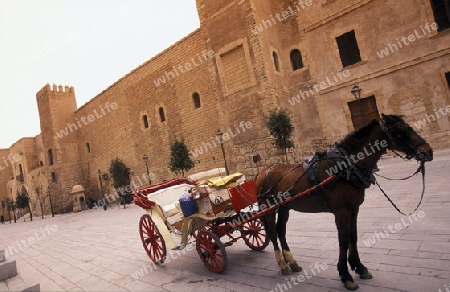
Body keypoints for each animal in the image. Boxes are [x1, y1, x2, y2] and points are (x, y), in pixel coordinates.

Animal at [253, 114, 432, 290]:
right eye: (401, 131)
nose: (428, 151)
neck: (347, 167)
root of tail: (262, 172)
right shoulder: (342, 211)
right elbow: (344, 239)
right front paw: (346, 276)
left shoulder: (354, 208)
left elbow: (353, 235)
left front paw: (359, 267)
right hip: (269, 209)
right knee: (273, 233)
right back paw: (283, 265)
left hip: (285, 208)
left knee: (281, 231)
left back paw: (292, 262)